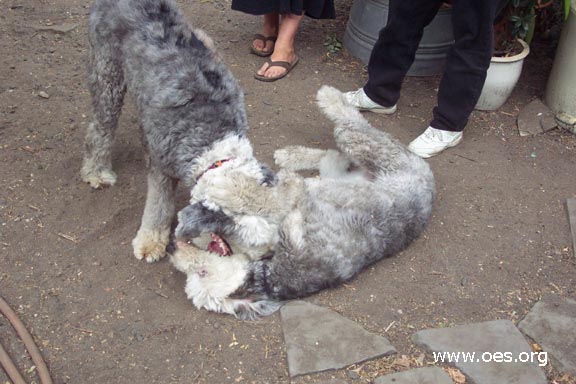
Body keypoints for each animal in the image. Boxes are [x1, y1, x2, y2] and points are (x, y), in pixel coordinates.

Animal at [80, 0, 274, 260]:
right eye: (245, 237)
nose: (269, 257)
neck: (212, 136)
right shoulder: (161, 166)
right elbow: (158, 205)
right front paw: (151, 241)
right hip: (107, 73)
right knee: (101, 126)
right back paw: (97, 172)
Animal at [171, 85, 436, 320]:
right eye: (192, 276)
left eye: (202, 272)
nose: (172, 248)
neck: (270, 274)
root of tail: (428, 179)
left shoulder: (288, 212)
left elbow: (269, 198)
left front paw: (226, 188)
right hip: (338, 170)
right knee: (332, 155)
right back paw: (290, 155)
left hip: (371, 148)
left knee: (353, 123)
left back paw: (329, 98)